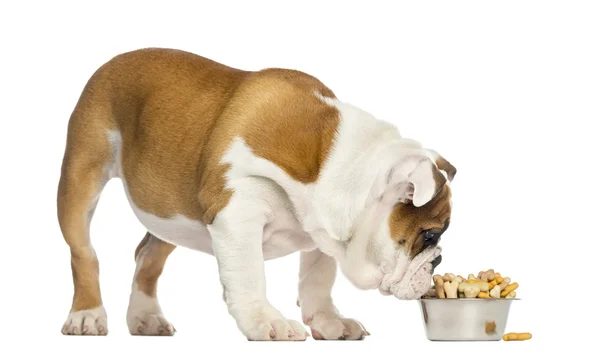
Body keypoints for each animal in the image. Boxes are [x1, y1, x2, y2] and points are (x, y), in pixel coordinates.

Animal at [58, 47, 458, 340]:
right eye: (431, 234)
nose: (437, 260)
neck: (332, 162)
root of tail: (113, 60)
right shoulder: (237, 215)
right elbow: (250, 275)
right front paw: (267, 323)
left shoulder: (322, 233)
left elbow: (317, 278)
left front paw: (329, 321)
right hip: (81, 176)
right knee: (83, 253)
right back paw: (87, 315)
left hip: (169, 210)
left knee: (148, 254)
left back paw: (146, 317)